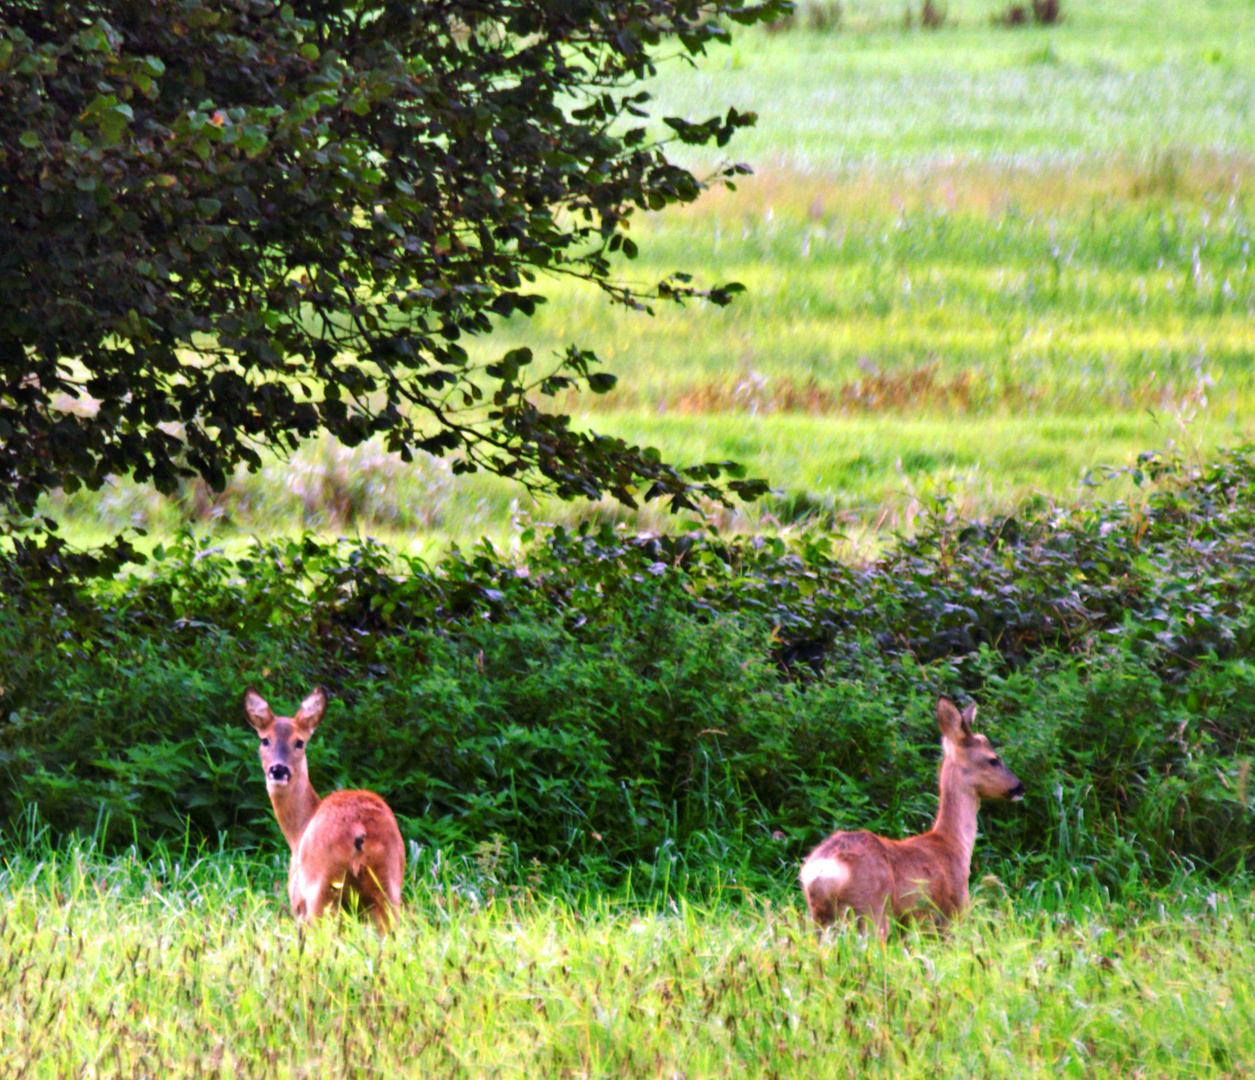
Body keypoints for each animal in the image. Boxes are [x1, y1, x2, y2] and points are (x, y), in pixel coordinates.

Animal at [242, 687, 404, 933]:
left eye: (299, 742)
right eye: (265, 740)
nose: (278, 770)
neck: (298, 830)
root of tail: (359, 831)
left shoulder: (297, 898)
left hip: (321, 888)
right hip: (388, 885)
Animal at [798, 697, 1024, 938]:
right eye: (993, 760)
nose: (1020, 786)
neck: (954, 845)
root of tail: (823, 869)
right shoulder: (953, 912)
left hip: (821, 917)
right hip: (871, 909)